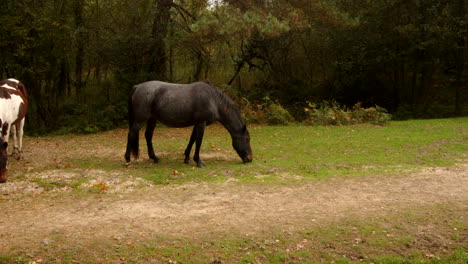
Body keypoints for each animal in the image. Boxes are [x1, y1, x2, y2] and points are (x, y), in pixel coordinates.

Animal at [122, 80, 250, 167]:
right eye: (247, 140)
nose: (250, 159)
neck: (213, 100)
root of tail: (137, 87)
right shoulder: (201, 123)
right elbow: (198, 142)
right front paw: (198, 162)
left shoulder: (197, 123)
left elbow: (192, 139)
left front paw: (187, 158)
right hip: (140, 120)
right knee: (131, 134)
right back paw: (128, 159)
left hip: (152, 119)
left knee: (148, 135)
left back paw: (155, 158)